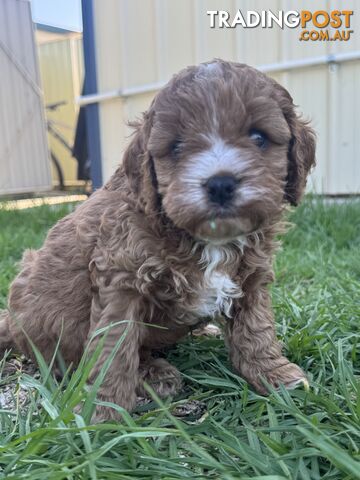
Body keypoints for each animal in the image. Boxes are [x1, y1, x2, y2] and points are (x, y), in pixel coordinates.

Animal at [0, 60, 316, 420]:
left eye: (259, 137)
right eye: (176, 148)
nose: (220, 183)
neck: (208, 239)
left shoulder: (252, 278)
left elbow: (257, 328)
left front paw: (275, 375)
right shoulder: (121, 280)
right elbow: (114, 347)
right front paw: (103, 410)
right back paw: (152, 373)